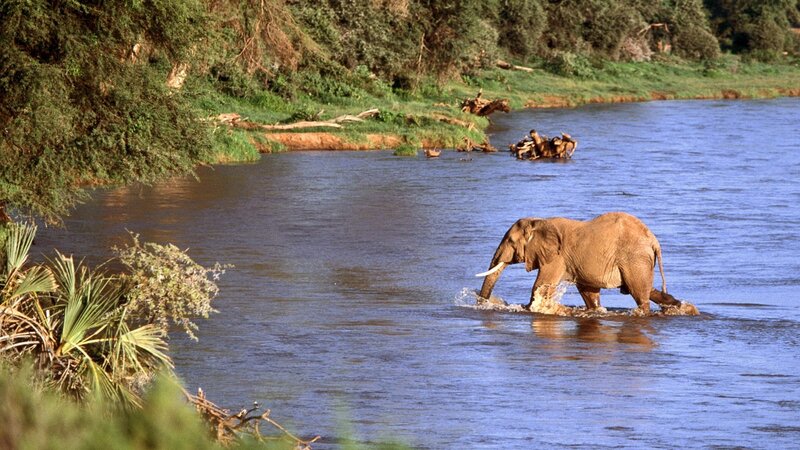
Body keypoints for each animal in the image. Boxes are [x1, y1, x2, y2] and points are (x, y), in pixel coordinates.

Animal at [476, 212, 694, 314]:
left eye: (511, 241)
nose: (484, 303)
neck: (540, 221)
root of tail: (654, 241)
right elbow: (589, 293)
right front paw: (595, 310)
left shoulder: (557, 257)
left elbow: (540, 287)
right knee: (647, 290)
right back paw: (682, 307)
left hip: (635, 259)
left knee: (639, 294)